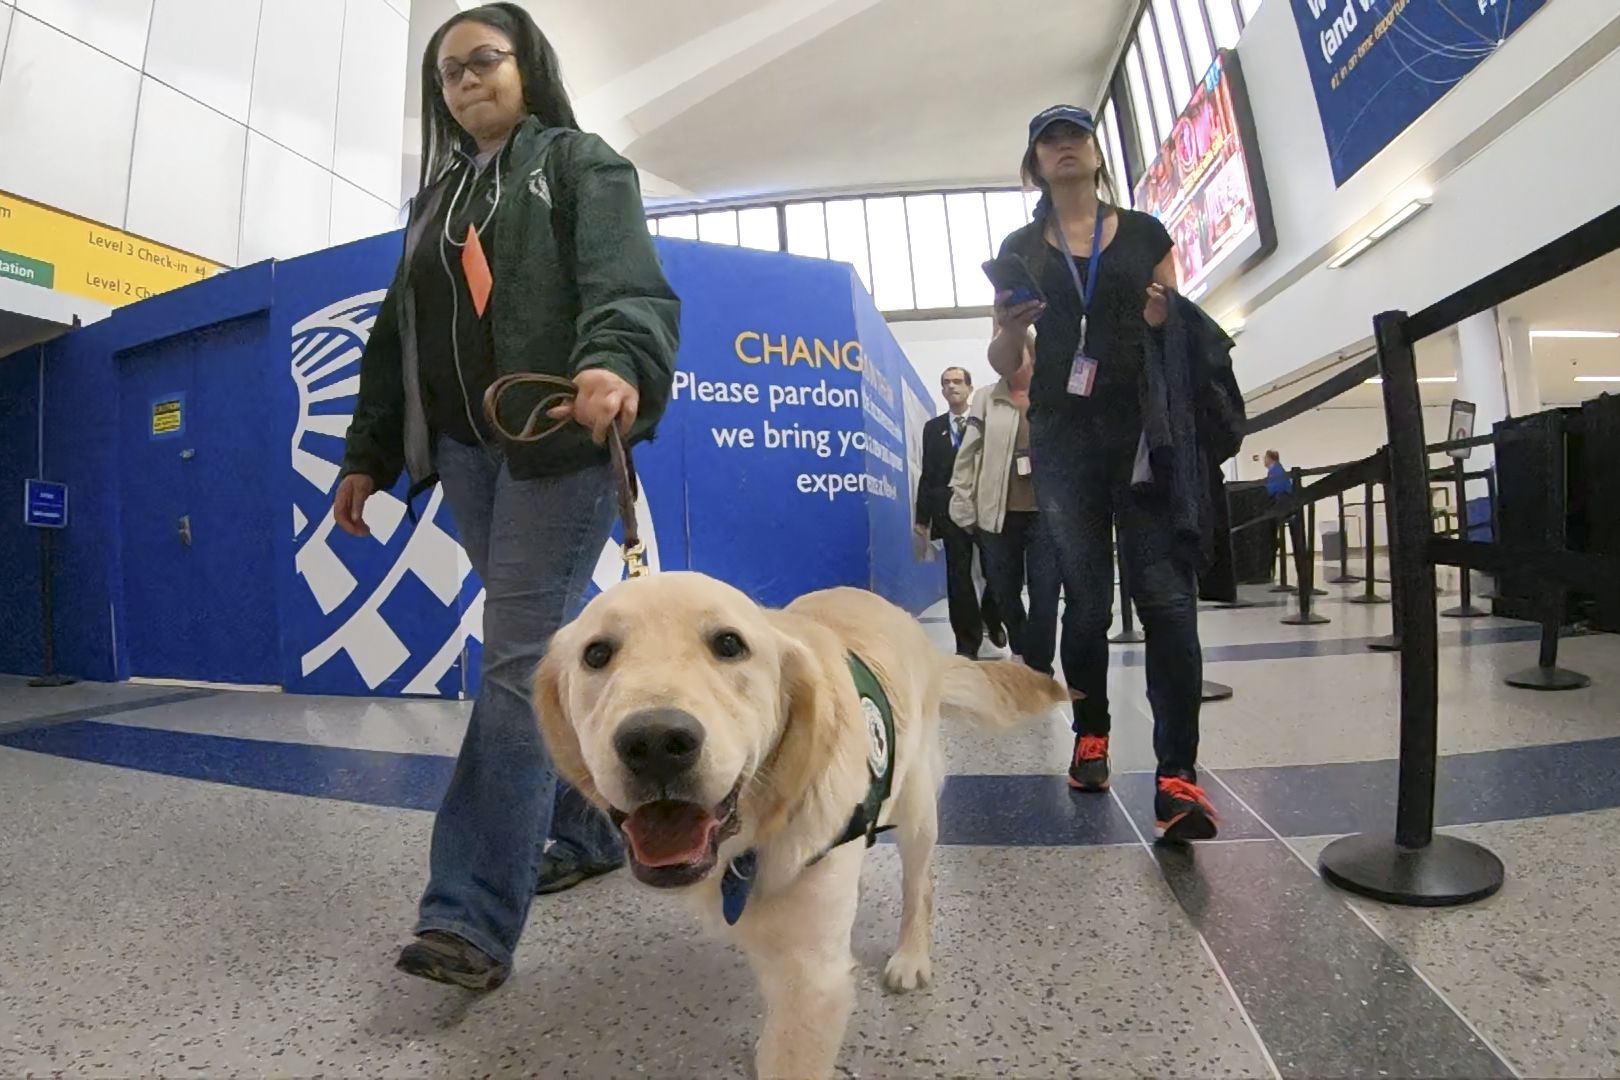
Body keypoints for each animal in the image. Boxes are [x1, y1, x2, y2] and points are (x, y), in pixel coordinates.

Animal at [531, 569, 1069, 1075]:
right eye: (597, 653)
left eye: (729, 644)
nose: (657, 742)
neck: (752, 836)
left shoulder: (812, 977)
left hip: (917, 810)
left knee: (921, 885)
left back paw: (911, 956)